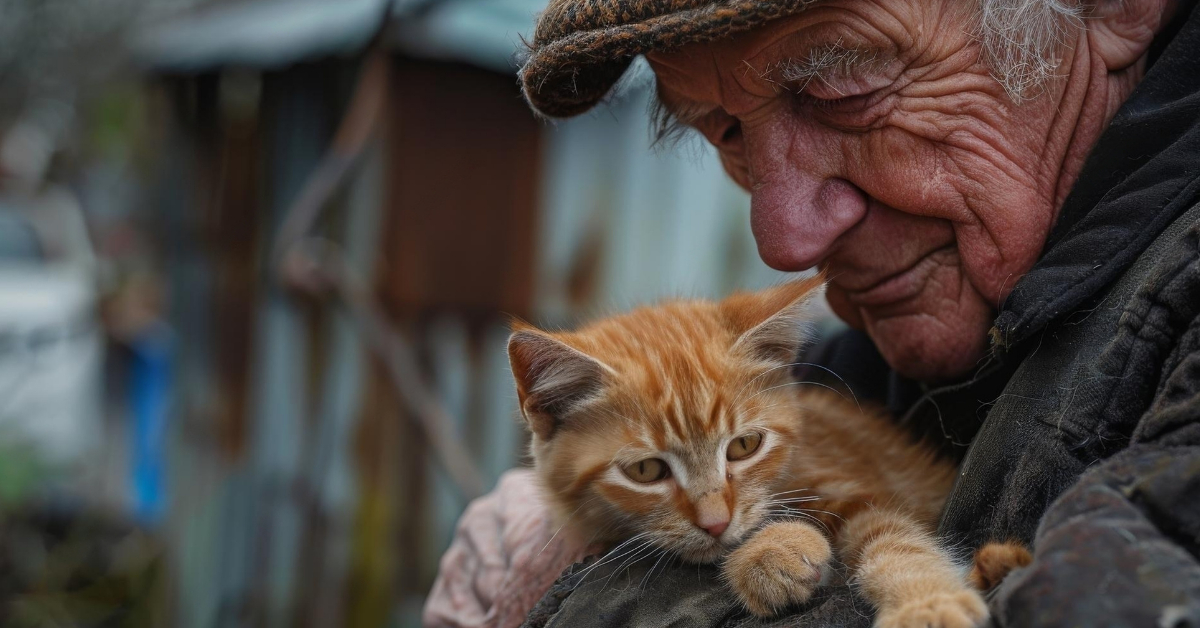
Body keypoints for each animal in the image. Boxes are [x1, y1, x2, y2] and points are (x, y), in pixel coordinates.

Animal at [511, 280, 1027, 628]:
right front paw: (775, 552)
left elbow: (894, 540)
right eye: (646, 470)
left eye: (744, 446)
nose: (715, 523)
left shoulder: (860, 484)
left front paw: (925, 604)